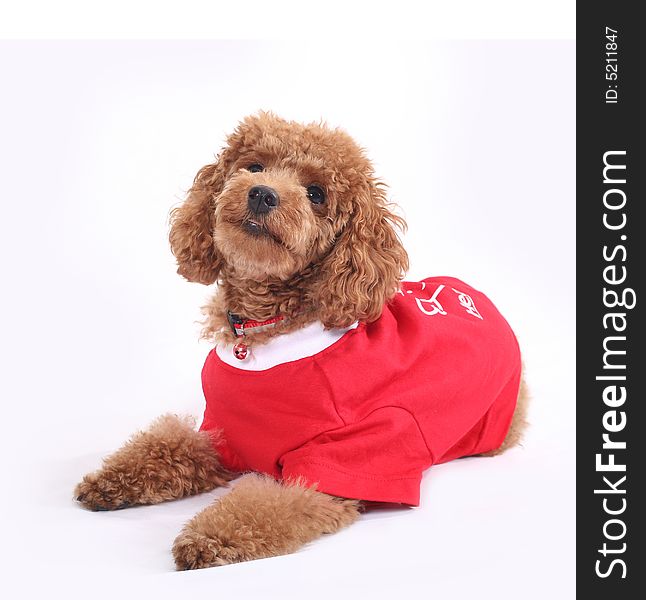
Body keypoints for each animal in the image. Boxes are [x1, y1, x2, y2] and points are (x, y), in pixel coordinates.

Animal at [76, 111, 532, 568]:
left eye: (316, 194)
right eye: (254, 166)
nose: (262, 194)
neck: (262, 331)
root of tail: (478, 296)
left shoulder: (345, 460)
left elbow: (266, 505)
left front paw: (207, 537)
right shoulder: (221, 434)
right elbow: (168, 445)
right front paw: (111, 480)